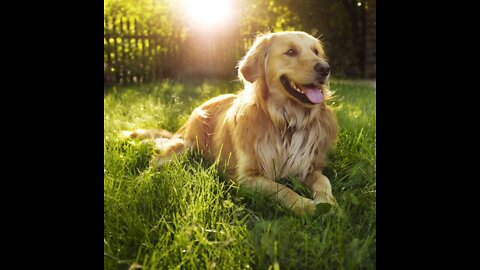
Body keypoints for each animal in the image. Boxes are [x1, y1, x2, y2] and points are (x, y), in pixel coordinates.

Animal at [125, 31, 340, 215]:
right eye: (291, 52)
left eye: (316, 51)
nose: (325, 68)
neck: (286, 121)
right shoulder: (247, 177)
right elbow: (281, 189)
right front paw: (306, 206)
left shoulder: (310, 167)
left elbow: (323, 181)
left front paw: (328, 203)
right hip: (184, 147)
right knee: (154, 163)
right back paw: (140, 184)